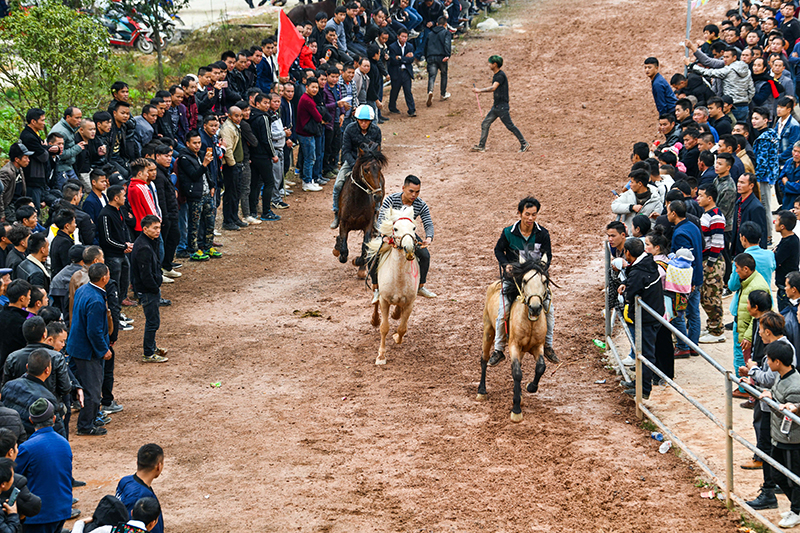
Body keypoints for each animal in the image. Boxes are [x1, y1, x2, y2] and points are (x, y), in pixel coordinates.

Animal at [332, 143, 386, 280]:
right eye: (366, 170)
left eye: (379, 168)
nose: (377, 195)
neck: (356, 200)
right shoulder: (344, 223)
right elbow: (344, 249)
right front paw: (340, 251)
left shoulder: (368, 224)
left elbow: (365, 247)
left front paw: (358, 264)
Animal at [368, 206, 418, 364]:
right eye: (395, 229)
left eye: (413, 227)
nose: (409, 248)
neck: (399, 279)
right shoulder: (385, 301)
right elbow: (384, 328)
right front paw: (381, 356)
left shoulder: (410, 303)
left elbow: (402, 328)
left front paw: (397, 337)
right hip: (376, 288)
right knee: (375, 301)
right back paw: (374, 319)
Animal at [476, 260, 556, 422]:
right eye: (524, 280)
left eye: (545, 281)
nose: (535, 307)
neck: (530, 322)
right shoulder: (514, 345)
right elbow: (517, 373)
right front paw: (516, 411)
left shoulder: (538, 346)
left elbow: (540, 367)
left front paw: (530, 387)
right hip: (488, 330)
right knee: (484, 359)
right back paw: (481, 390)